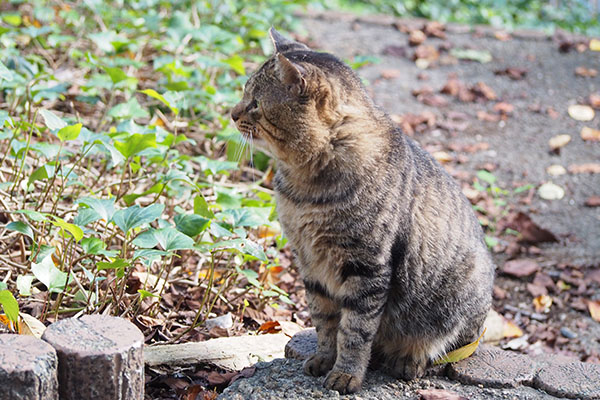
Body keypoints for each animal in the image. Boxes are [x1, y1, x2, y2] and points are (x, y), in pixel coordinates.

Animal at [230, 28, 492, 394]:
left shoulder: (366, 267)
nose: (231, 113)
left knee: (442, 346)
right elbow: (325, 322)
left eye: (255, 102)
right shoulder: (310, 263)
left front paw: (346, 374)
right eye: (244, 94)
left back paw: (409, 359)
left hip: (460, 298)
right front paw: (324, 358)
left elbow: (355, 331)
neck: (304, 187)